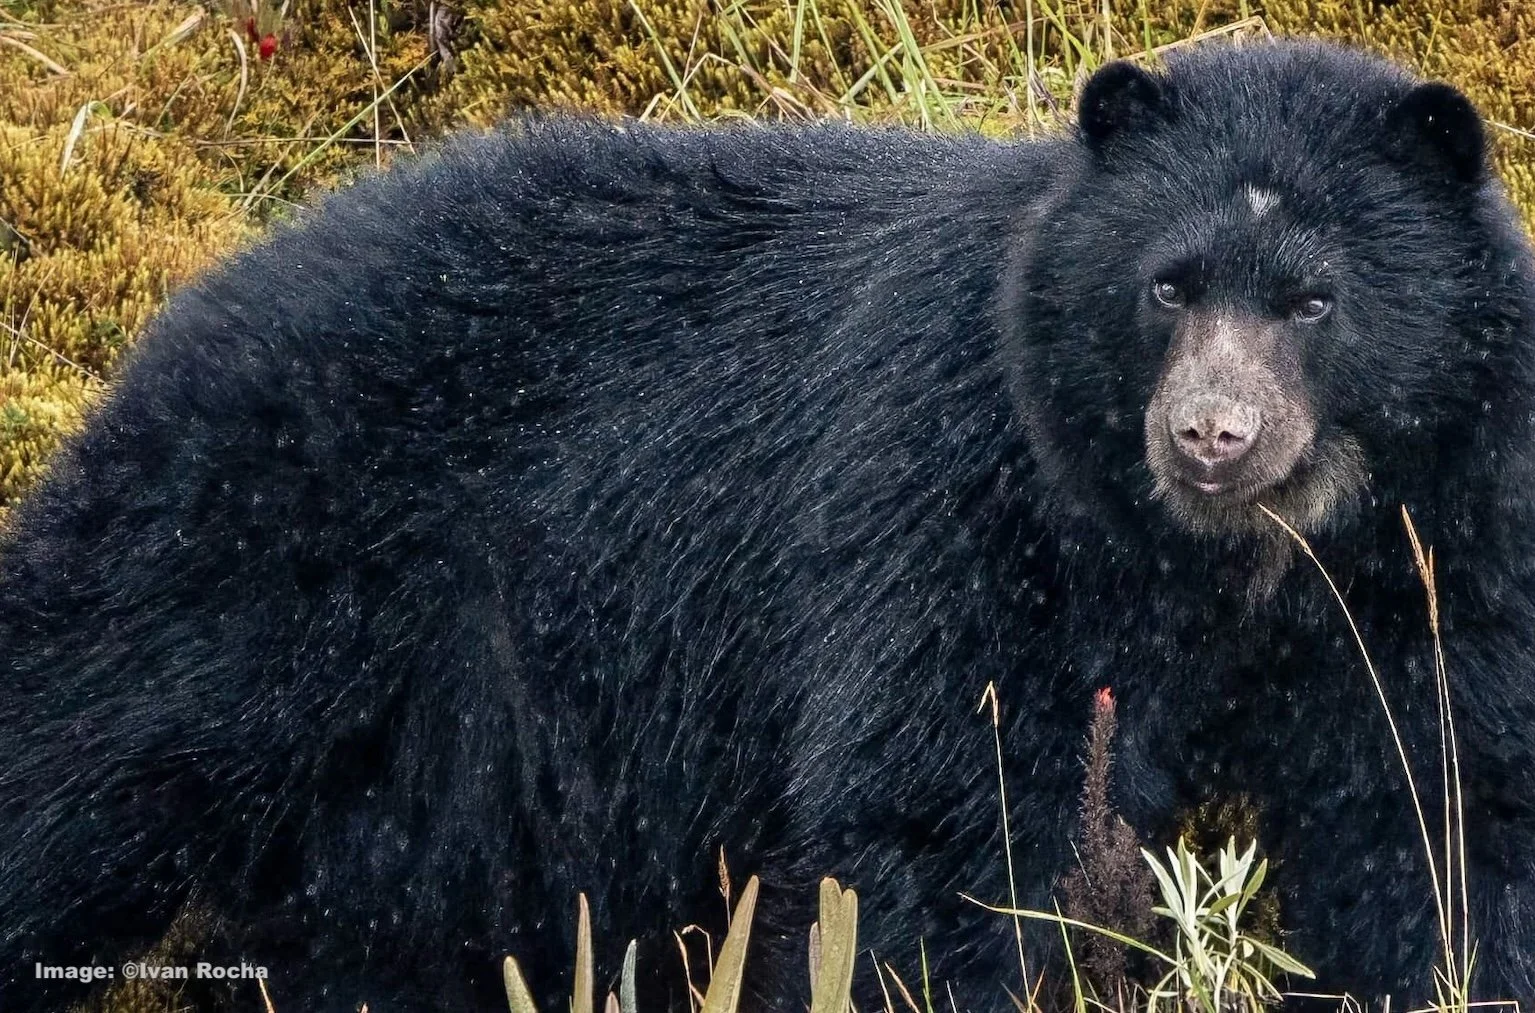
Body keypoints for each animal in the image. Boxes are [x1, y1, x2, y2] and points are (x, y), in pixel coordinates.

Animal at [3, 36, 1535, 1012]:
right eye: (1166, 285)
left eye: (1313, 299)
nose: (1210, 435)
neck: (1222, 567)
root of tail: (212, 288)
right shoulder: (962, 495)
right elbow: (939, 810)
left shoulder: (1448, 537)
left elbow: (1439, 799)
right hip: (255, 555)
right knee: (83, 735)